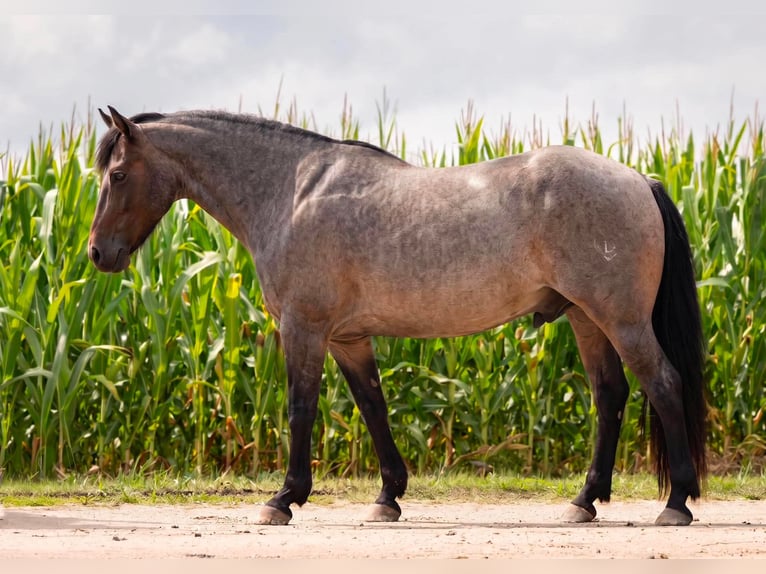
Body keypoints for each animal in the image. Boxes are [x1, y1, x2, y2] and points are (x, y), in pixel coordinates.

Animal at [88, 106, 707, 527]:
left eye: (116, 175)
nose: (97, 254)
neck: (291, 193)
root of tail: (639, 179)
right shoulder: (349, 339)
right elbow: (373, 408)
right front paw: (388, 496)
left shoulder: (304, 329)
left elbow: (300, 409)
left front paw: (284, 498)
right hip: (585, 318)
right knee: (610, 396)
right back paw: (584, 501)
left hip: (621, 320)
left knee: (663, 383)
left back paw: (676, 502)